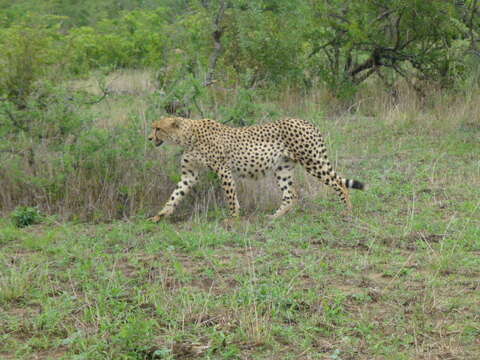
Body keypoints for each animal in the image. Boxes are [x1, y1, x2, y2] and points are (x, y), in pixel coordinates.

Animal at [147, 116, 364, 221]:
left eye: (158, 128)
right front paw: (159, 216)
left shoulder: (223, 170)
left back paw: (347, 211)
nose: (149, 138)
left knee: (339, 183)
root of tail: (305, 121)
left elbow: (231, 197)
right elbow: (175, 195)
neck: (187, 137)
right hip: (283, 168)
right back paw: (275, 217)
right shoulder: (189, 175)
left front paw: (233, 219)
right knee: (291, 194)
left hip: (312, 161)